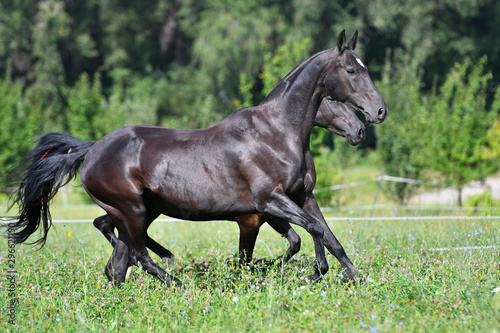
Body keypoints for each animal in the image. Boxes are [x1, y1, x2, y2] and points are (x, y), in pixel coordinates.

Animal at [5, 29, 386, 286]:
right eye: (351, 71)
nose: (376, 115)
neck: (276, 133)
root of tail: (92, 149)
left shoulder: (302, 197)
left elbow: (329, 237)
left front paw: (355, 279)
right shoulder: (269, 202)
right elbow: (308, 232)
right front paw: (312, 274)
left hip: (139, 212)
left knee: (118, 264)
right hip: (132, 210)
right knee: (136, 255)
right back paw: (177, 282)